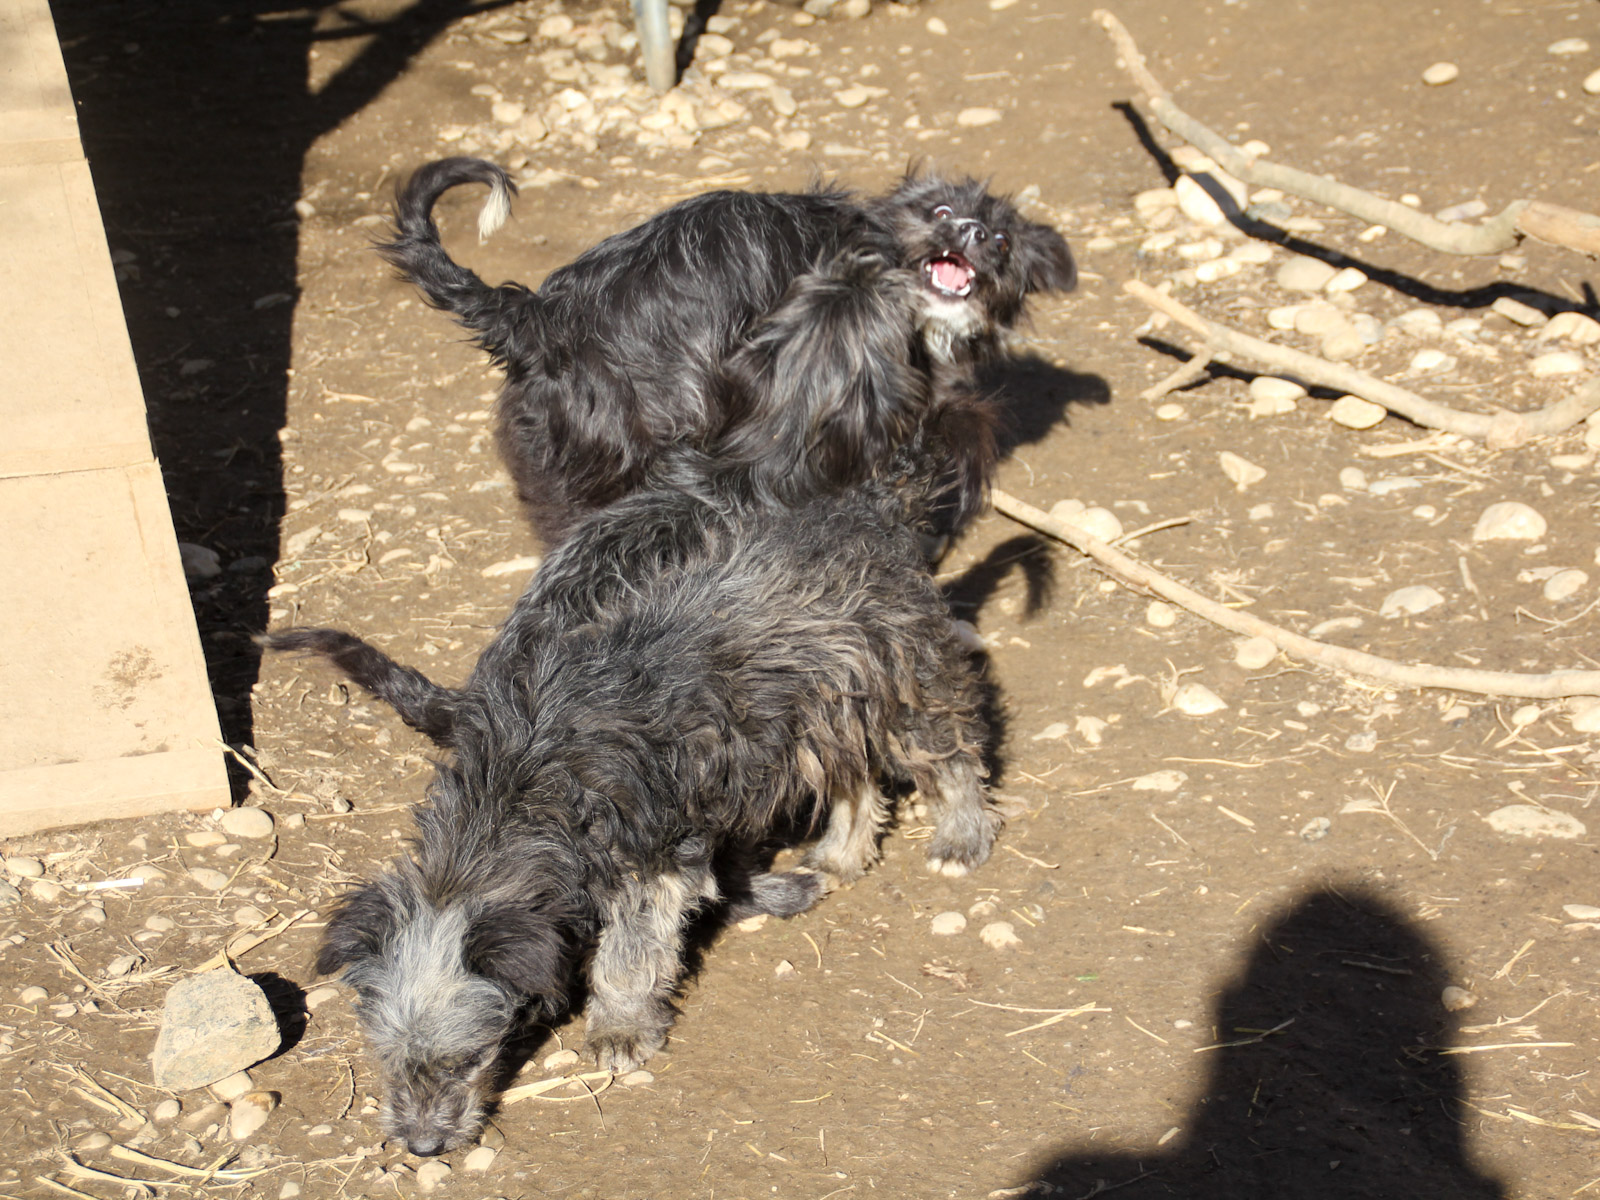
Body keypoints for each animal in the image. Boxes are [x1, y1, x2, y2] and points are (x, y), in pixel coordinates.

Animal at [264, 468, 995, 1155]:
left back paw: (961, 837)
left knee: (951, 749)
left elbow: (628, 956)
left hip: (903, 683)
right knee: (856, 776)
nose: (421, 1146)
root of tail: (867, 510)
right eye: (385, 1055)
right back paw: (839, 856)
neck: (521, 788)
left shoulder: (654, 863)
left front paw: (619, 1030)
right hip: (824, 713)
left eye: (467, 1058)